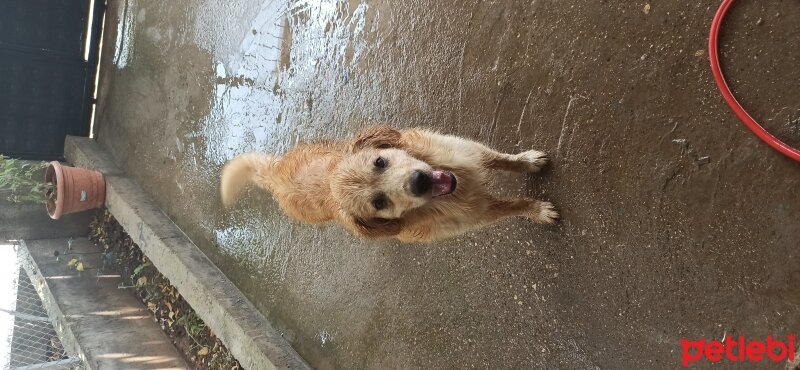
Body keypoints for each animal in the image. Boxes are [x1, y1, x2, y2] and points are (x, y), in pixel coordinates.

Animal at [219, 125, 556, 243]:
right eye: (379, 203)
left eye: (379, 162)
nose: (419, 181)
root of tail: (275, 174)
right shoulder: (480, 212)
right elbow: (515, 206)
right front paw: (539, 211)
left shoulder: (470, 152)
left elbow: (502, 159)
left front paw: (528, 161)